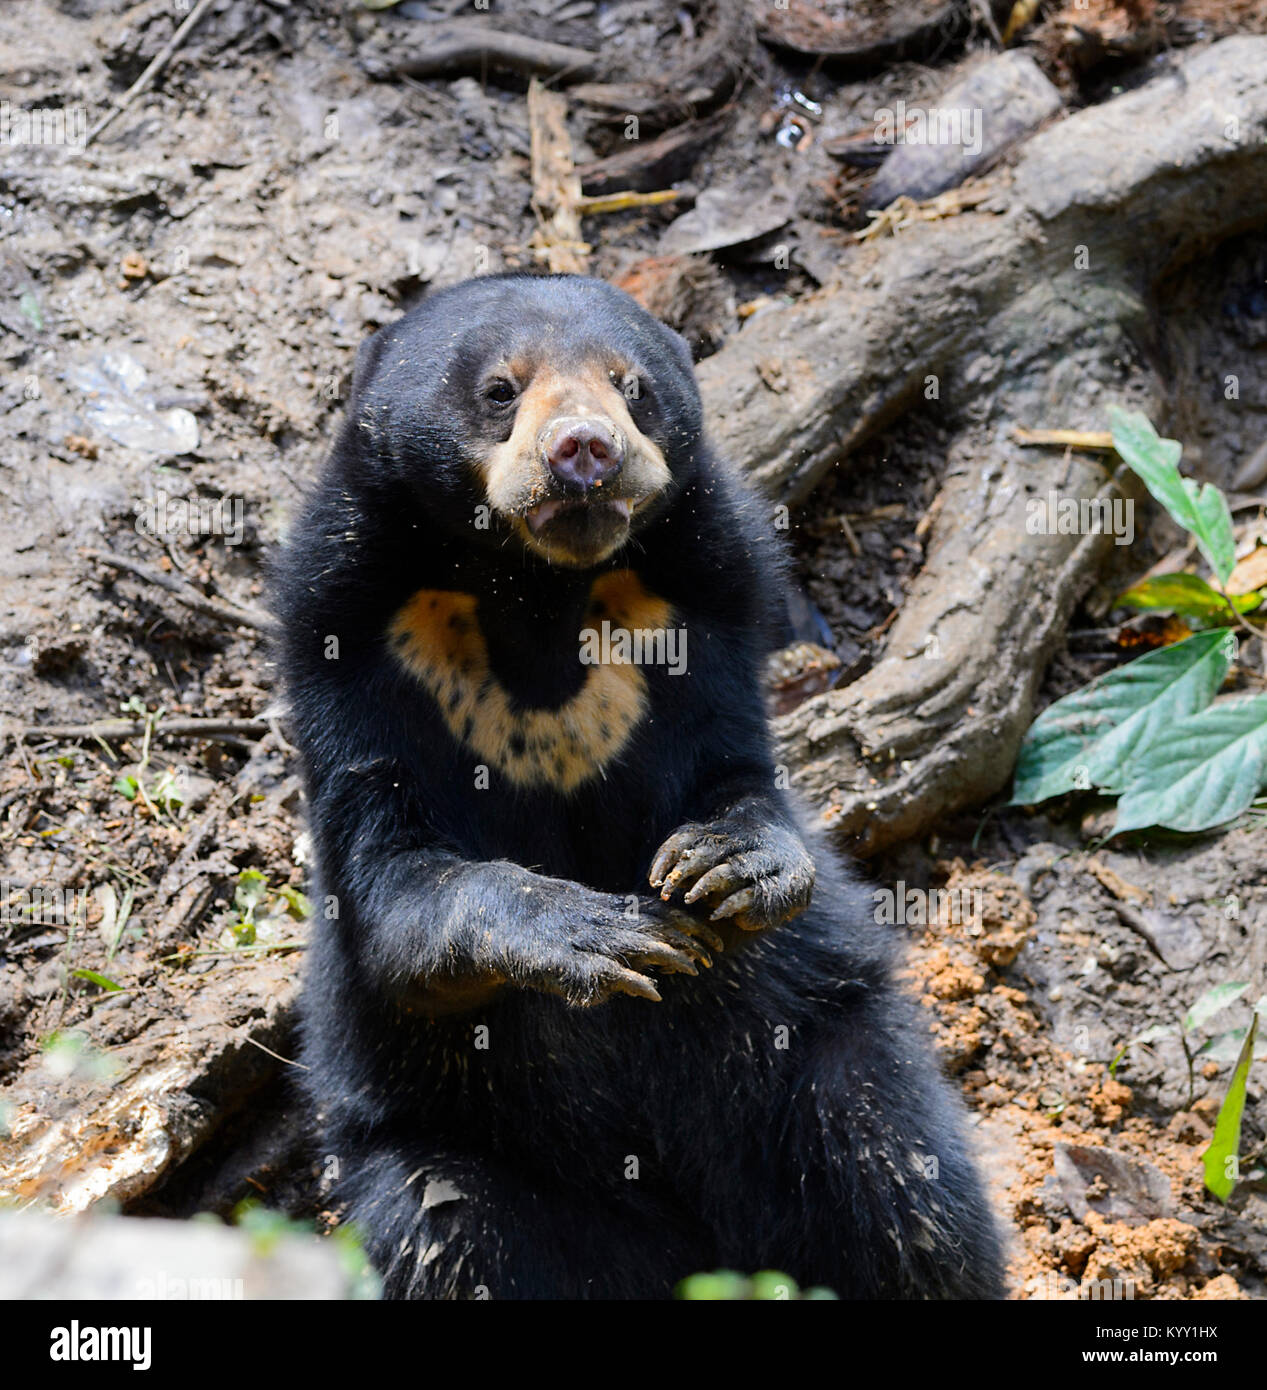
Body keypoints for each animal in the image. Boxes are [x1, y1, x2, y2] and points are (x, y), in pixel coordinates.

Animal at [275, 273, 1000, 1301]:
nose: (584, 450)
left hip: (823, 1056)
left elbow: (738, 774)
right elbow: (394, 890)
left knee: (903, 1185)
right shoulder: (351, 642)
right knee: (455, 1233)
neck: (536, 597)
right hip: (470, 1158)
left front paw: (721, 868)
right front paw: (600, 934)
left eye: (633, 388)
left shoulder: (700, 603)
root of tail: (711, 1252)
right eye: (499, 389)